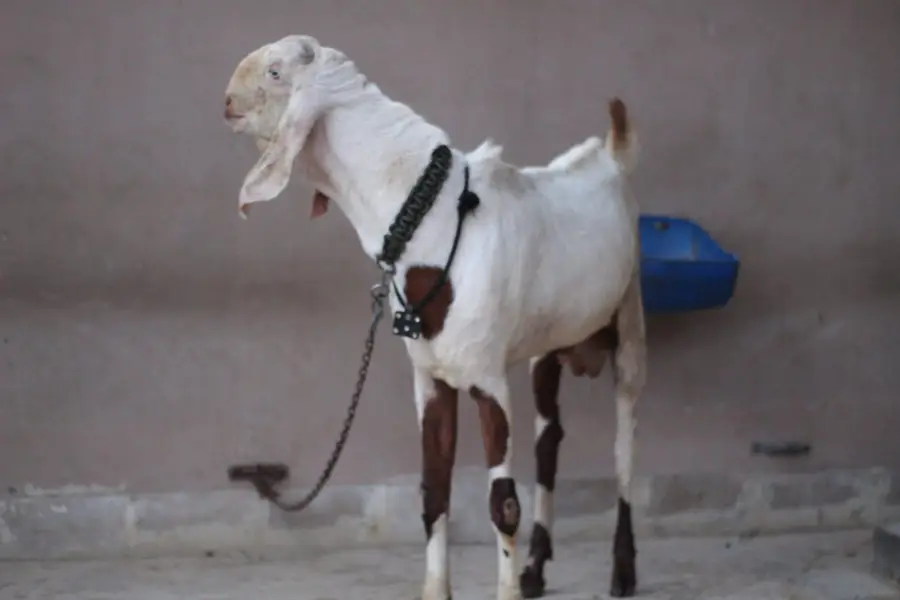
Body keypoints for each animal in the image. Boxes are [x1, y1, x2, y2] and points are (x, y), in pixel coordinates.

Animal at [222, 34, 646, 600]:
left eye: (274, 72)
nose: (226, 102)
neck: (436, 222)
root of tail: (611, 158)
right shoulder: (431, 380)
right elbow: (433, 491)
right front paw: (439, 587)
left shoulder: (488, 379)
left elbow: (502, 503)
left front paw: (507, 588)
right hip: (547, 347)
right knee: (549, 440)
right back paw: (536, 568)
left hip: (631, 316)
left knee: (624, 447)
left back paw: (622, 571)